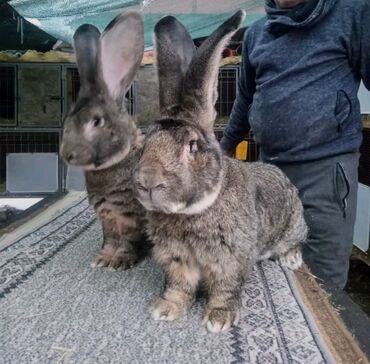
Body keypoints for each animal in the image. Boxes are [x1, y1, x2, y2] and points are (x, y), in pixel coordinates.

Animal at [60, 12, 148, 270]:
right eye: (68, 119)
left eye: (97, 121)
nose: (66, 154)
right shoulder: (106, 215)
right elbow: (110, 238)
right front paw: (103, 258)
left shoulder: (129, 215)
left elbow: (128, 240)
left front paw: (119, 262)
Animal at [133, 9, 306, 332]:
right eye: (144, 143)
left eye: (191, 146)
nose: (149, 182)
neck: (191, 212)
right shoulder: (178, 260)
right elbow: (179, 287)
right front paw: (166, 309)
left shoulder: (230, 260)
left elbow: (225, 289)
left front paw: (219, 319)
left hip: (293, 225)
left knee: (297, 240)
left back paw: (291, 259)